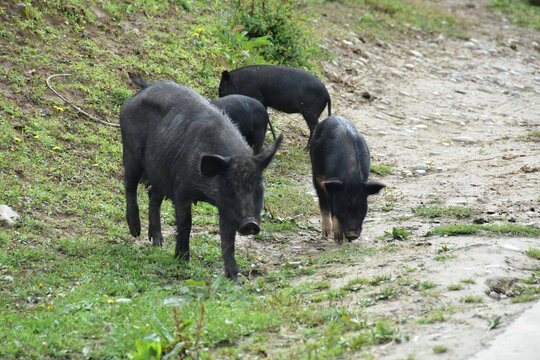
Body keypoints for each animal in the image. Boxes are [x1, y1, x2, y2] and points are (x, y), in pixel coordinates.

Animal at [121, 76, 284, 282]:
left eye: (258, 186)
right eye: (231, 185)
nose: (251, 224)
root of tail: (142, 90)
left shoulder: (226, 206)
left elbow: (228, 239)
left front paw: (235, 277)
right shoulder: (181, 190)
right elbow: (185, 223)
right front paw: (183, 260)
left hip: (161, 171)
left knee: (153, 196)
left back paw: (158, 243)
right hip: (131, 151)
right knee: (129, 185)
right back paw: (136, 232)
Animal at [308, 115, 384, 245]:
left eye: (361, 209)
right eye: (342, 209)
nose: (352, 235)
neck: (351, 176)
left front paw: (345, 240)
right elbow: (333, 209)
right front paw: (339, 240)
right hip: (316, 169)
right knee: (322, 200)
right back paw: (326, 234)